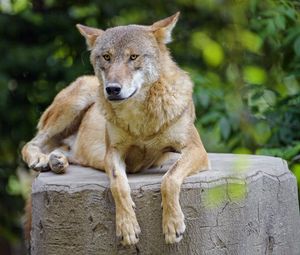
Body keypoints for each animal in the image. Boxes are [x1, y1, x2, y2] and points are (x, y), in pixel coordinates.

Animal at [21, 12, 209, 246]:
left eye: (134, 57)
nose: (112, 89)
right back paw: (43, 160)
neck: (140, 119)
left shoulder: (195, 149)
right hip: (76, 102)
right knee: (31, 143)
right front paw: (127, 227)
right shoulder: (113, 152)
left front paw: (172, 224)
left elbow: (170, 178)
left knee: (62, 151)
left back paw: (57, 161)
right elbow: (118, 184)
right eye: (107, 57)